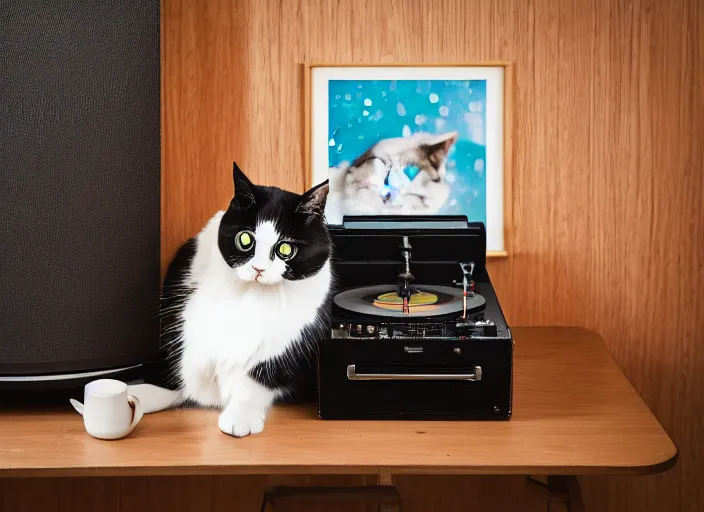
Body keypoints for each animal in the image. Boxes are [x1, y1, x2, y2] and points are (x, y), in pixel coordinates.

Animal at [128, 163, 332, 436]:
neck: (253, 295)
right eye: (245, 239)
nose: (258, 269)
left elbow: (259, 377)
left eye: (285, 249)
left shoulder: (288, 340)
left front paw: (240, 418)